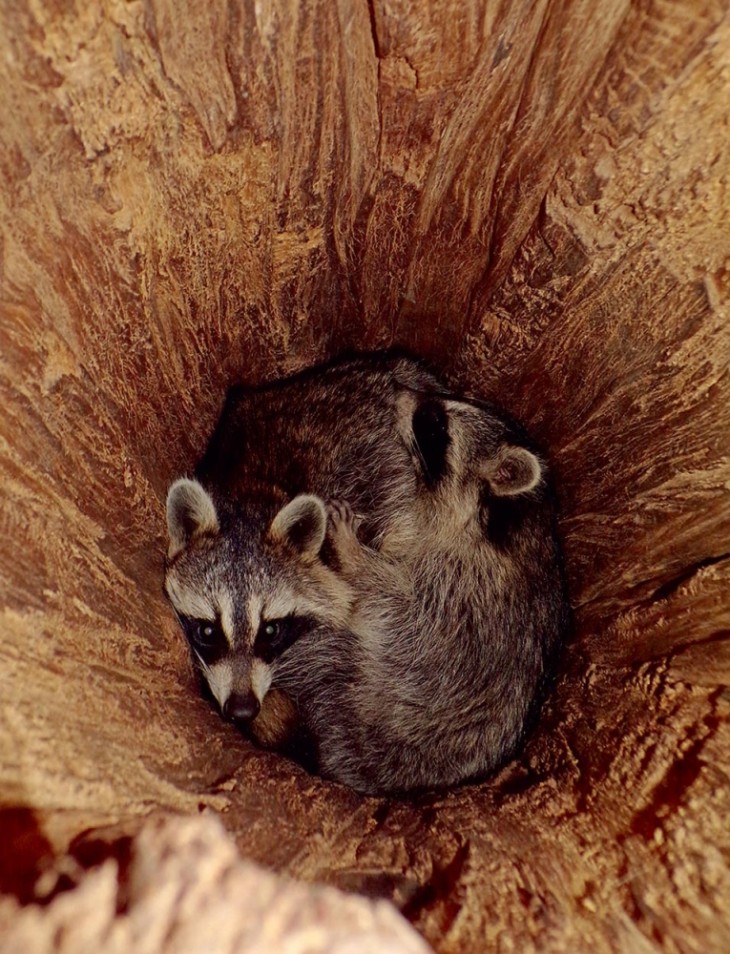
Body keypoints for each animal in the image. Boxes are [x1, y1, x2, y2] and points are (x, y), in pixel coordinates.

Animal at [164, 354, 569, 794]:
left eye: (435, 426)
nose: (399, 390)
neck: (505, 522)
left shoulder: (459, 588)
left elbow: (392, 604)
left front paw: (353, 554)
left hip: (352, 690)